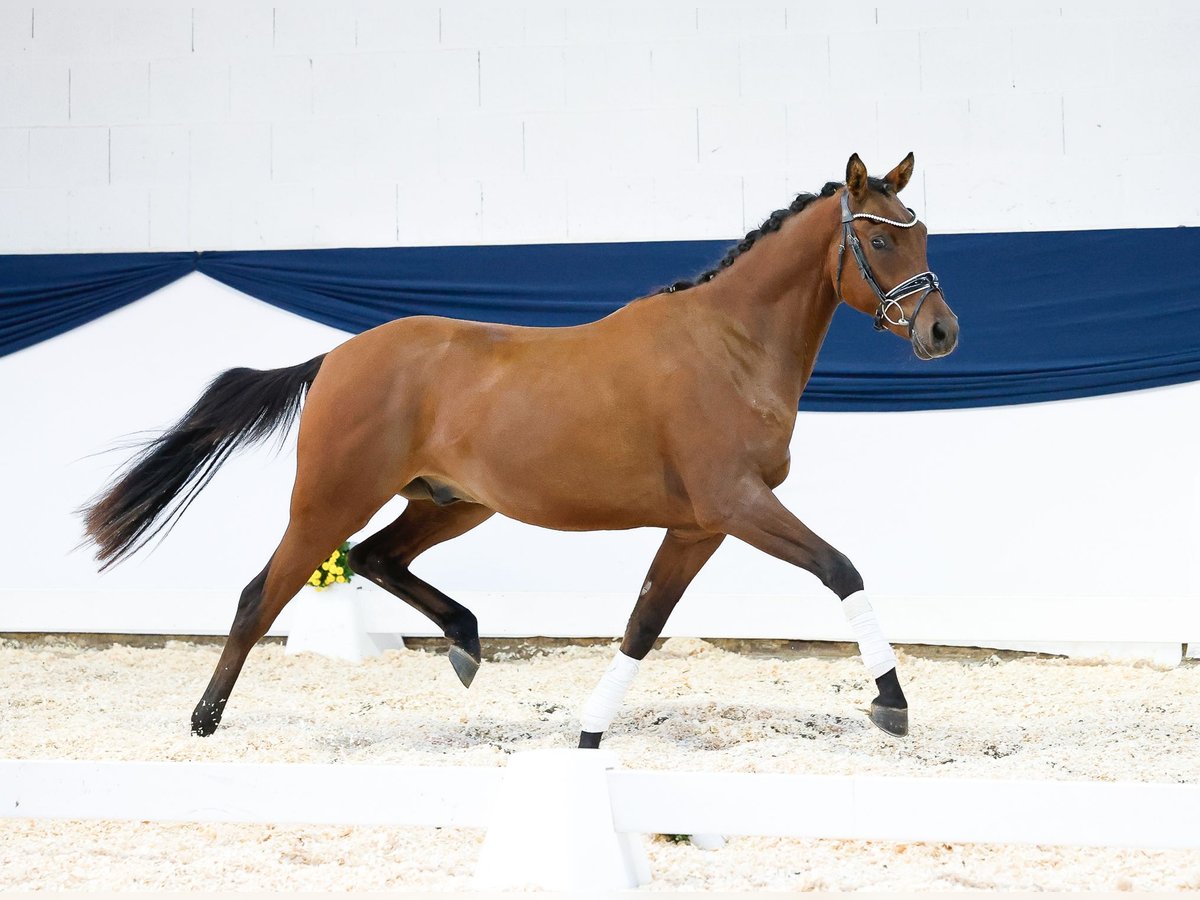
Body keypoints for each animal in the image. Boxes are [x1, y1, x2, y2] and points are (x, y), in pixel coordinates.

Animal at [82, 154, 955, 748]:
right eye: (880, 241)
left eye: (921, 234)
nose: (941, 332)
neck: (729, 345)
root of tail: (335, 356)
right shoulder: (737, 504)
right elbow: (841, 569)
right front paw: (891, 703)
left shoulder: (698, 526)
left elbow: (643, 625)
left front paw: (591, 731)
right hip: (331, 500)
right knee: (261, 594)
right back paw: (204, 720)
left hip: (453, 504)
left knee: (375, 558)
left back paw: (467, 642)